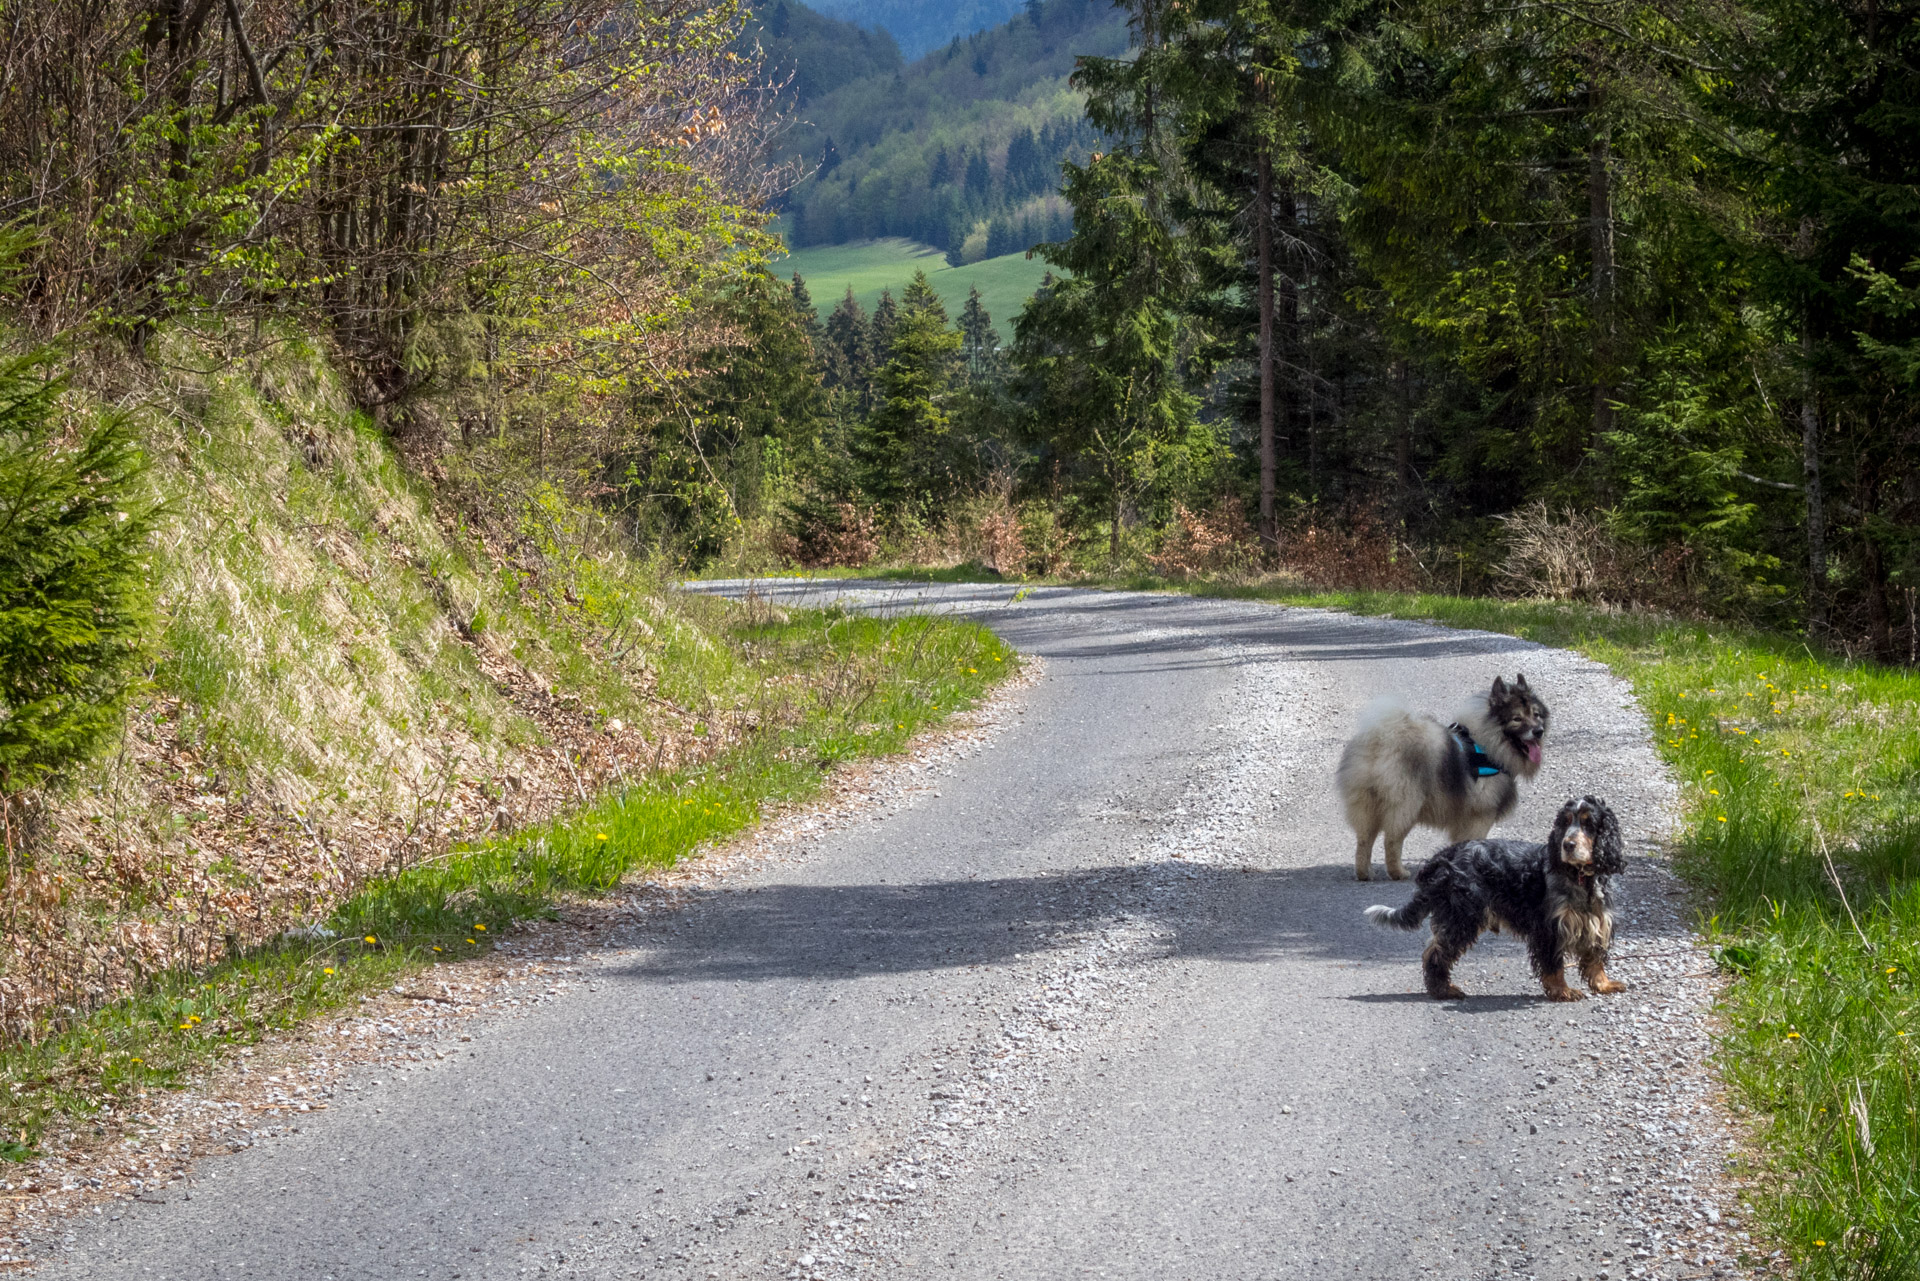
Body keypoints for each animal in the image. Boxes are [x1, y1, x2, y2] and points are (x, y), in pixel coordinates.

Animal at [1344, 679, 1551, 883]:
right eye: (1517, 719)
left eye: (1536, 715)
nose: (1538, 731)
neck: (1489, 745)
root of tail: (1380, 741)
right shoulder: (1480, 816)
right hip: (1405, 806)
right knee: (1391, 841)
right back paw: (1398, 873)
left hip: (1368, 806)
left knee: (1364, 840)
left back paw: (1364, 873)